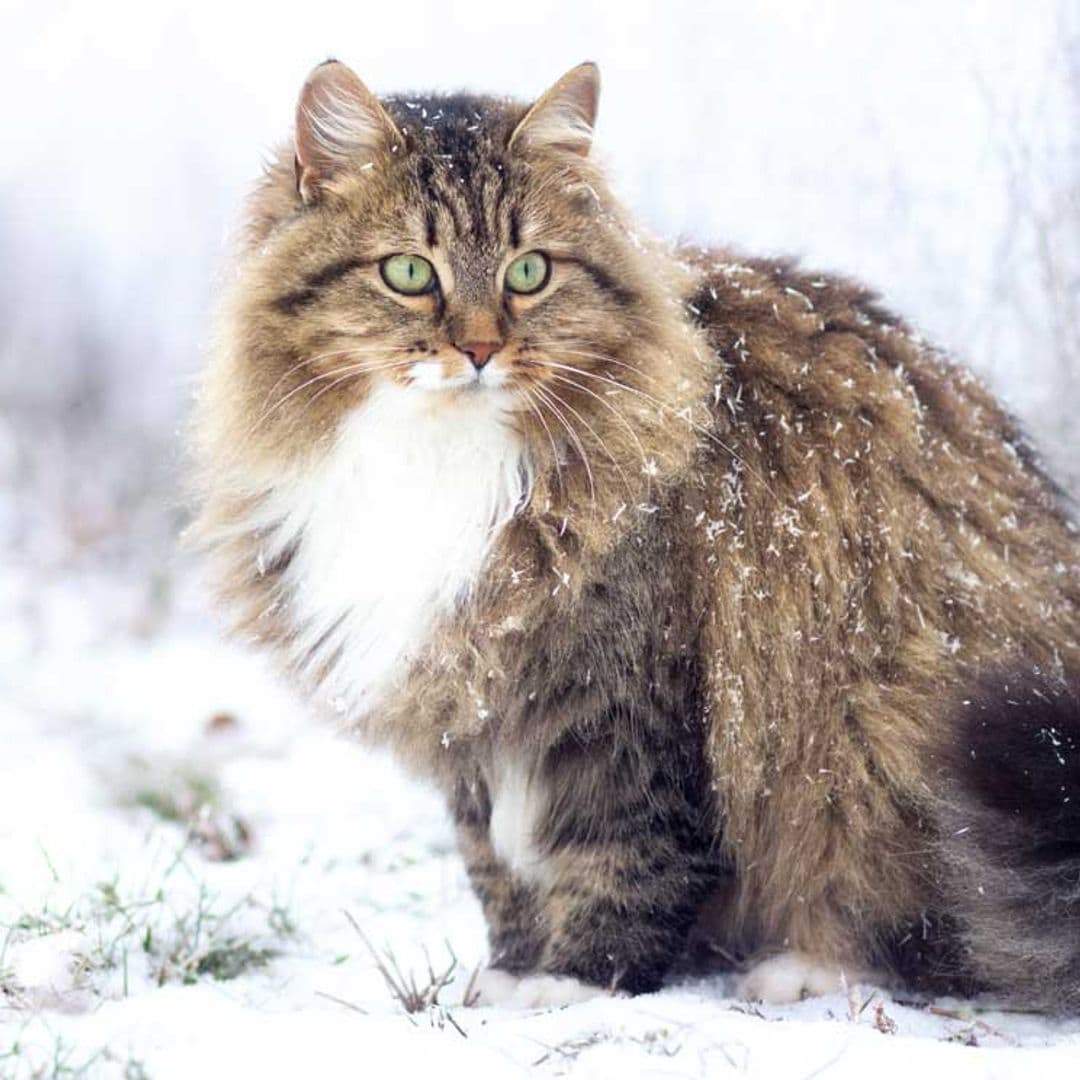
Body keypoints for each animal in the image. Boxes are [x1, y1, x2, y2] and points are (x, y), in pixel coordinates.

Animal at [192, 61, 1080, 1010]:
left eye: (529, 271)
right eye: (408, 272)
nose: (479, 349)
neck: (439, 459)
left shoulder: (629, 694)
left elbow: (626, 856)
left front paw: (578, 983)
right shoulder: (472, 701)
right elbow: (496, 864)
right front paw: (509, 973)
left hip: (884, 724)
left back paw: (799, 969)